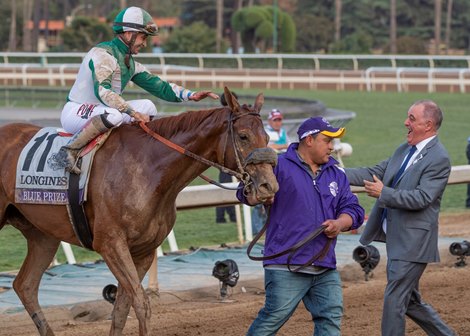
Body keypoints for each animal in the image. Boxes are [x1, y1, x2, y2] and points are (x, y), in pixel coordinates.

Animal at [0, 88, 280, 334]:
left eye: (267, 138)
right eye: (243, 136)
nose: (269, 186)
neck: (147, 168)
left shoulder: (144, 250)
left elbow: (123, 308)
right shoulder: (110, 243)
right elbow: (141, 302)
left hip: (42, 235)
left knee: (24, 285)